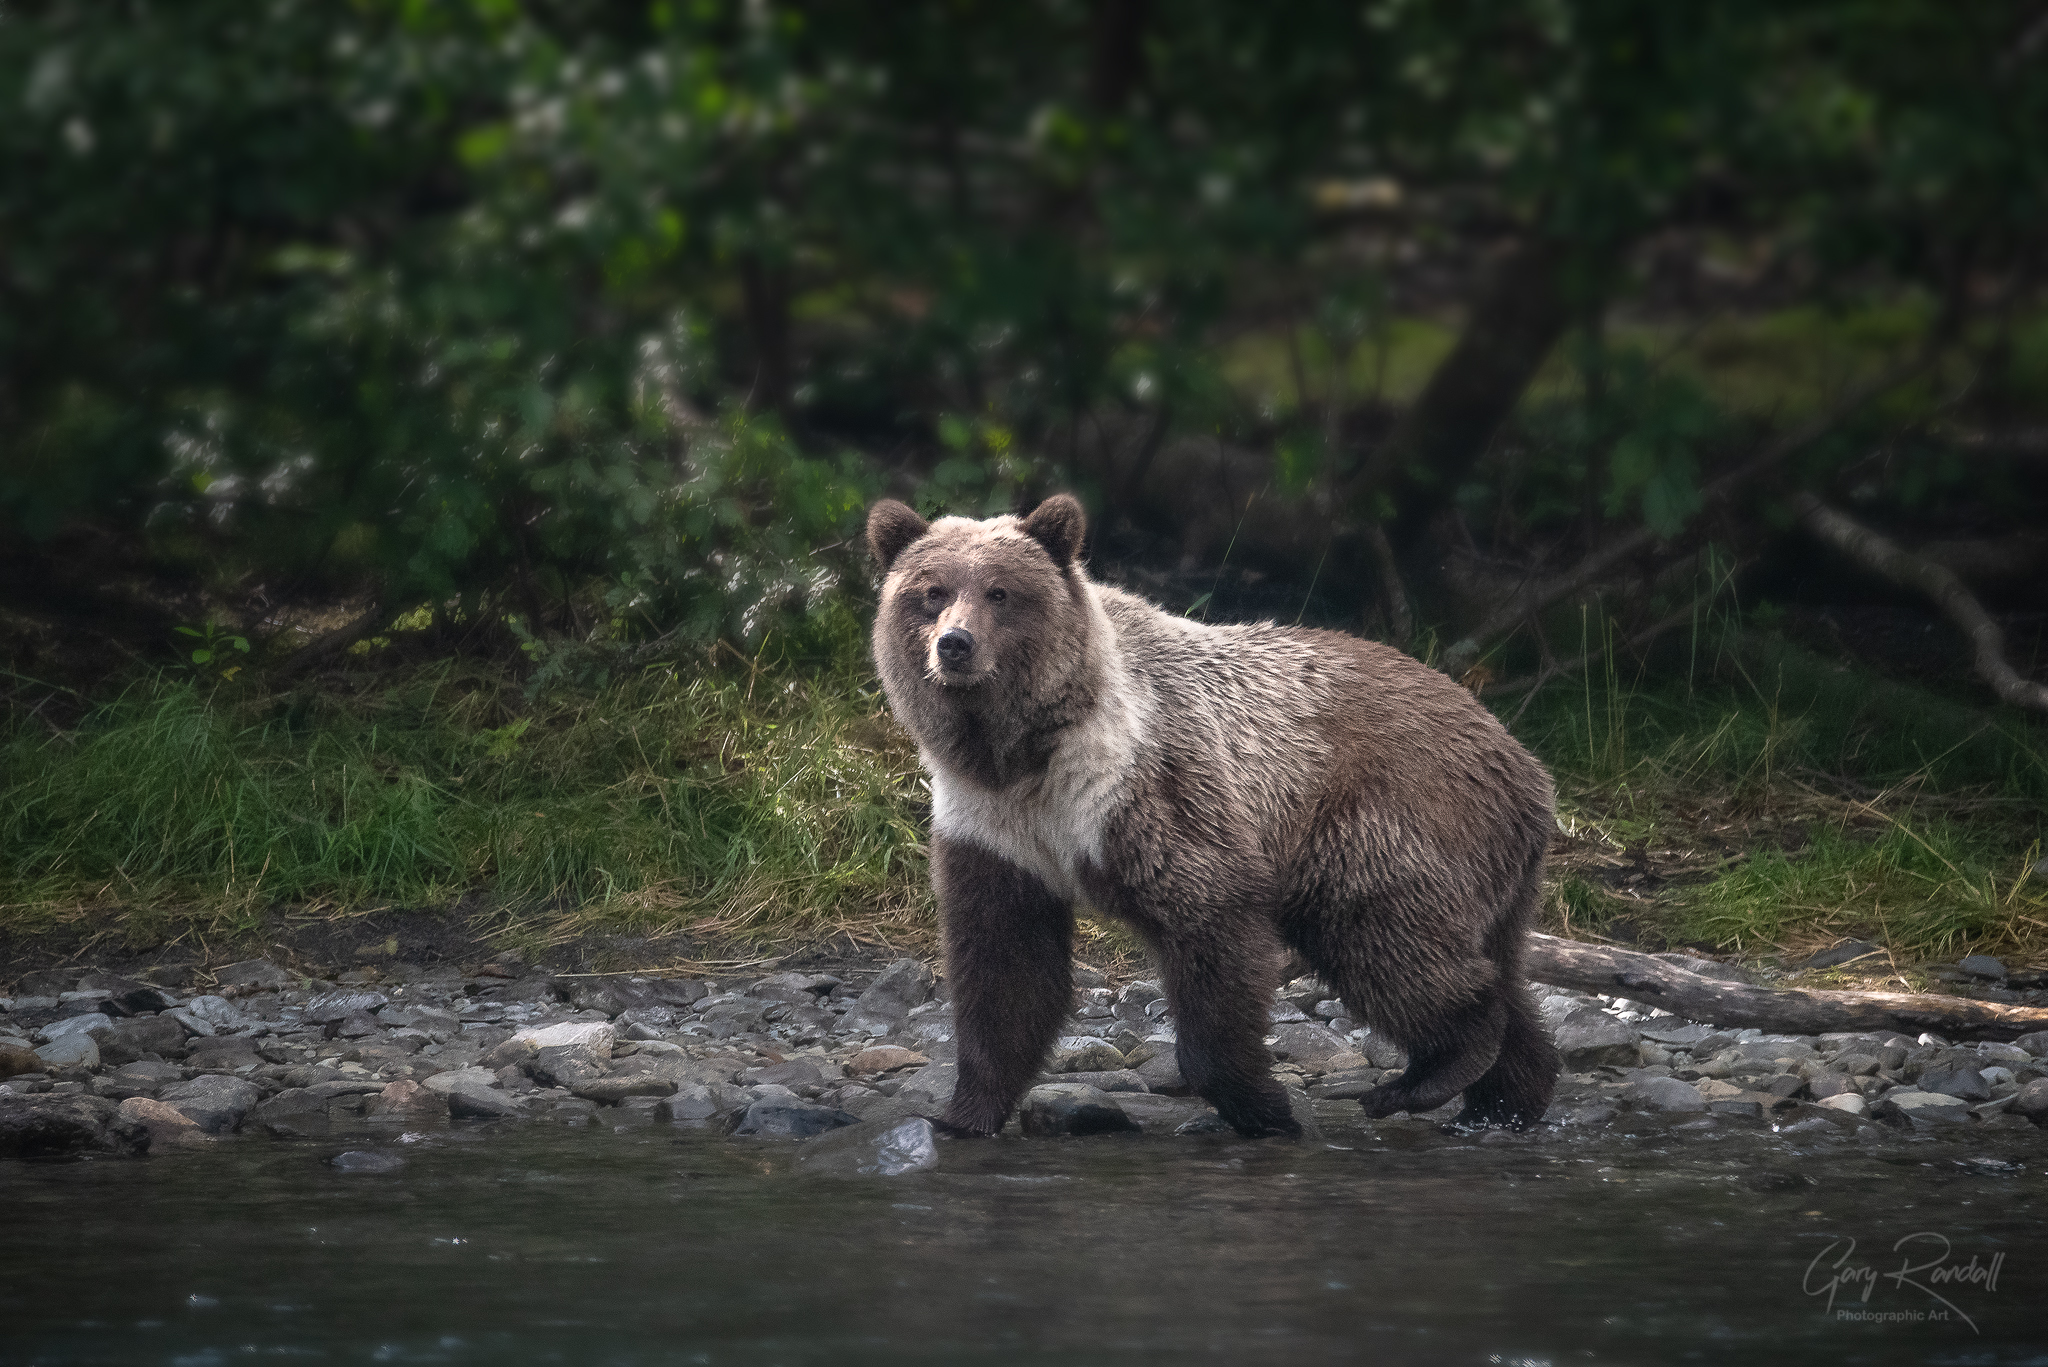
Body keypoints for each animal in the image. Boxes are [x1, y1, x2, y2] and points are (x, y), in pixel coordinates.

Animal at [860, 498, 1548, 1139]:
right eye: (931, 591)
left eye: (999, 592)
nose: (955, 644)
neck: (1024, 753)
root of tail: (1522, 758)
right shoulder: (993, 824)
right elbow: (1005, 966)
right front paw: (964, 1113)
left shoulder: (1146, 792)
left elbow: (1209, 925)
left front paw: (1264, 1107)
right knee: (1481, 963)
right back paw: (1507, 1098)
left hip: (1384, 819)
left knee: (1383, 939)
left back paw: (1434, 1071)